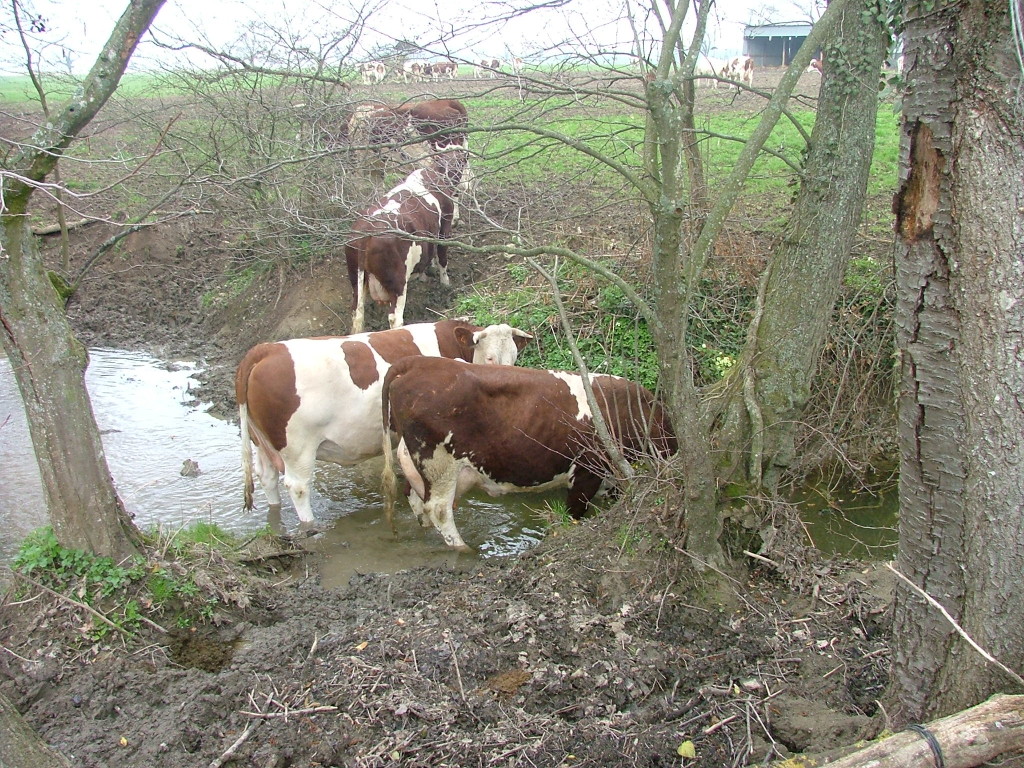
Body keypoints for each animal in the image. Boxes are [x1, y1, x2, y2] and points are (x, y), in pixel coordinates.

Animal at [235, 319, 532, 528]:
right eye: (490, 357)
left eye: (514, 357)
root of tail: (266, 349)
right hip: (298, 447)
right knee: (297, 487)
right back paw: (311, 526)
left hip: (261, 441)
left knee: (267, 476)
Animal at [380, 360, 675, 552]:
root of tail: (418, 363)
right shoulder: (587, 470)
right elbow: (575, 512)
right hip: (439, 463)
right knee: (439, 508)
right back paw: (464, 549)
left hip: (421, 465)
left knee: (415, 498)